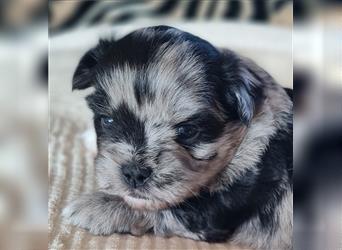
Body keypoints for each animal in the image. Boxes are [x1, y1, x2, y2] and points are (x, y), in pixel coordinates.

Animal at [64, 25, 294, 250]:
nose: (134, 173)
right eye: (108, 120)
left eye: (187, 131)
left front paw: (93, 206)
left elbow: (165, 207)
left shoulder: (214, 210)